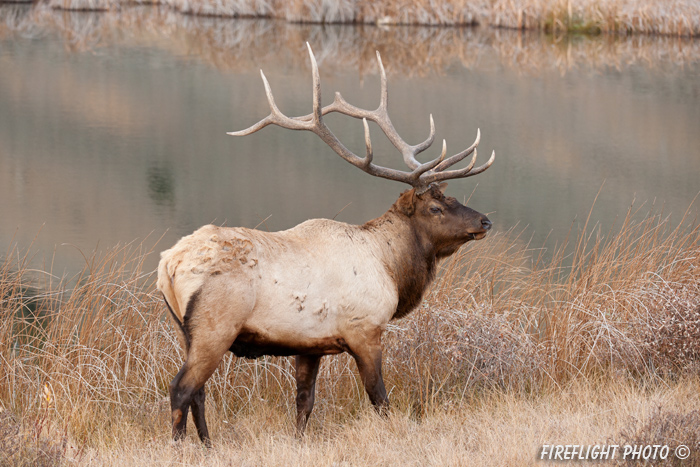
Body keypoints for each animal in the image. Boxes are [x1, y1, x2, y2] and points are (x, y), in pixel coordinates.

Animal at [157, 44, 498, 446]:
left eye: (452, 197)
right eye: (435, 207)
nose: (484, 221)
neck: (391, 268)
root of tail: (168, 264)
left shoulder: (309, 346)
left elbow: (304, 403)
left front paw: (298, 442)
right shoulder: (365, 330)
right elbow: (379, 399)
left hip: (187, 332)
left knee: (198, 392)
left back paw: (209, 446)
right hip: (216, 326)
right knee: (181, 388)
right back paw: (181, 447)